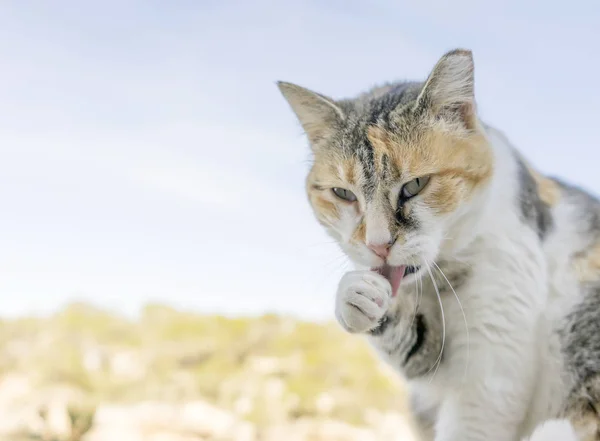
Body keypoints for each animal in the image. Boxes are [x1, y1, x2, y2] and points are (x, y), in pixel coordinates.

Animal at [278, 49, 600, 440]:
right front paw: (356, 295)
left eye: (414, 185)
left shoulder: (493, 362)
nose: (378, 244)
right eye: (343, 193)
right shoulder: (434, 357)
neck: (444, 273)